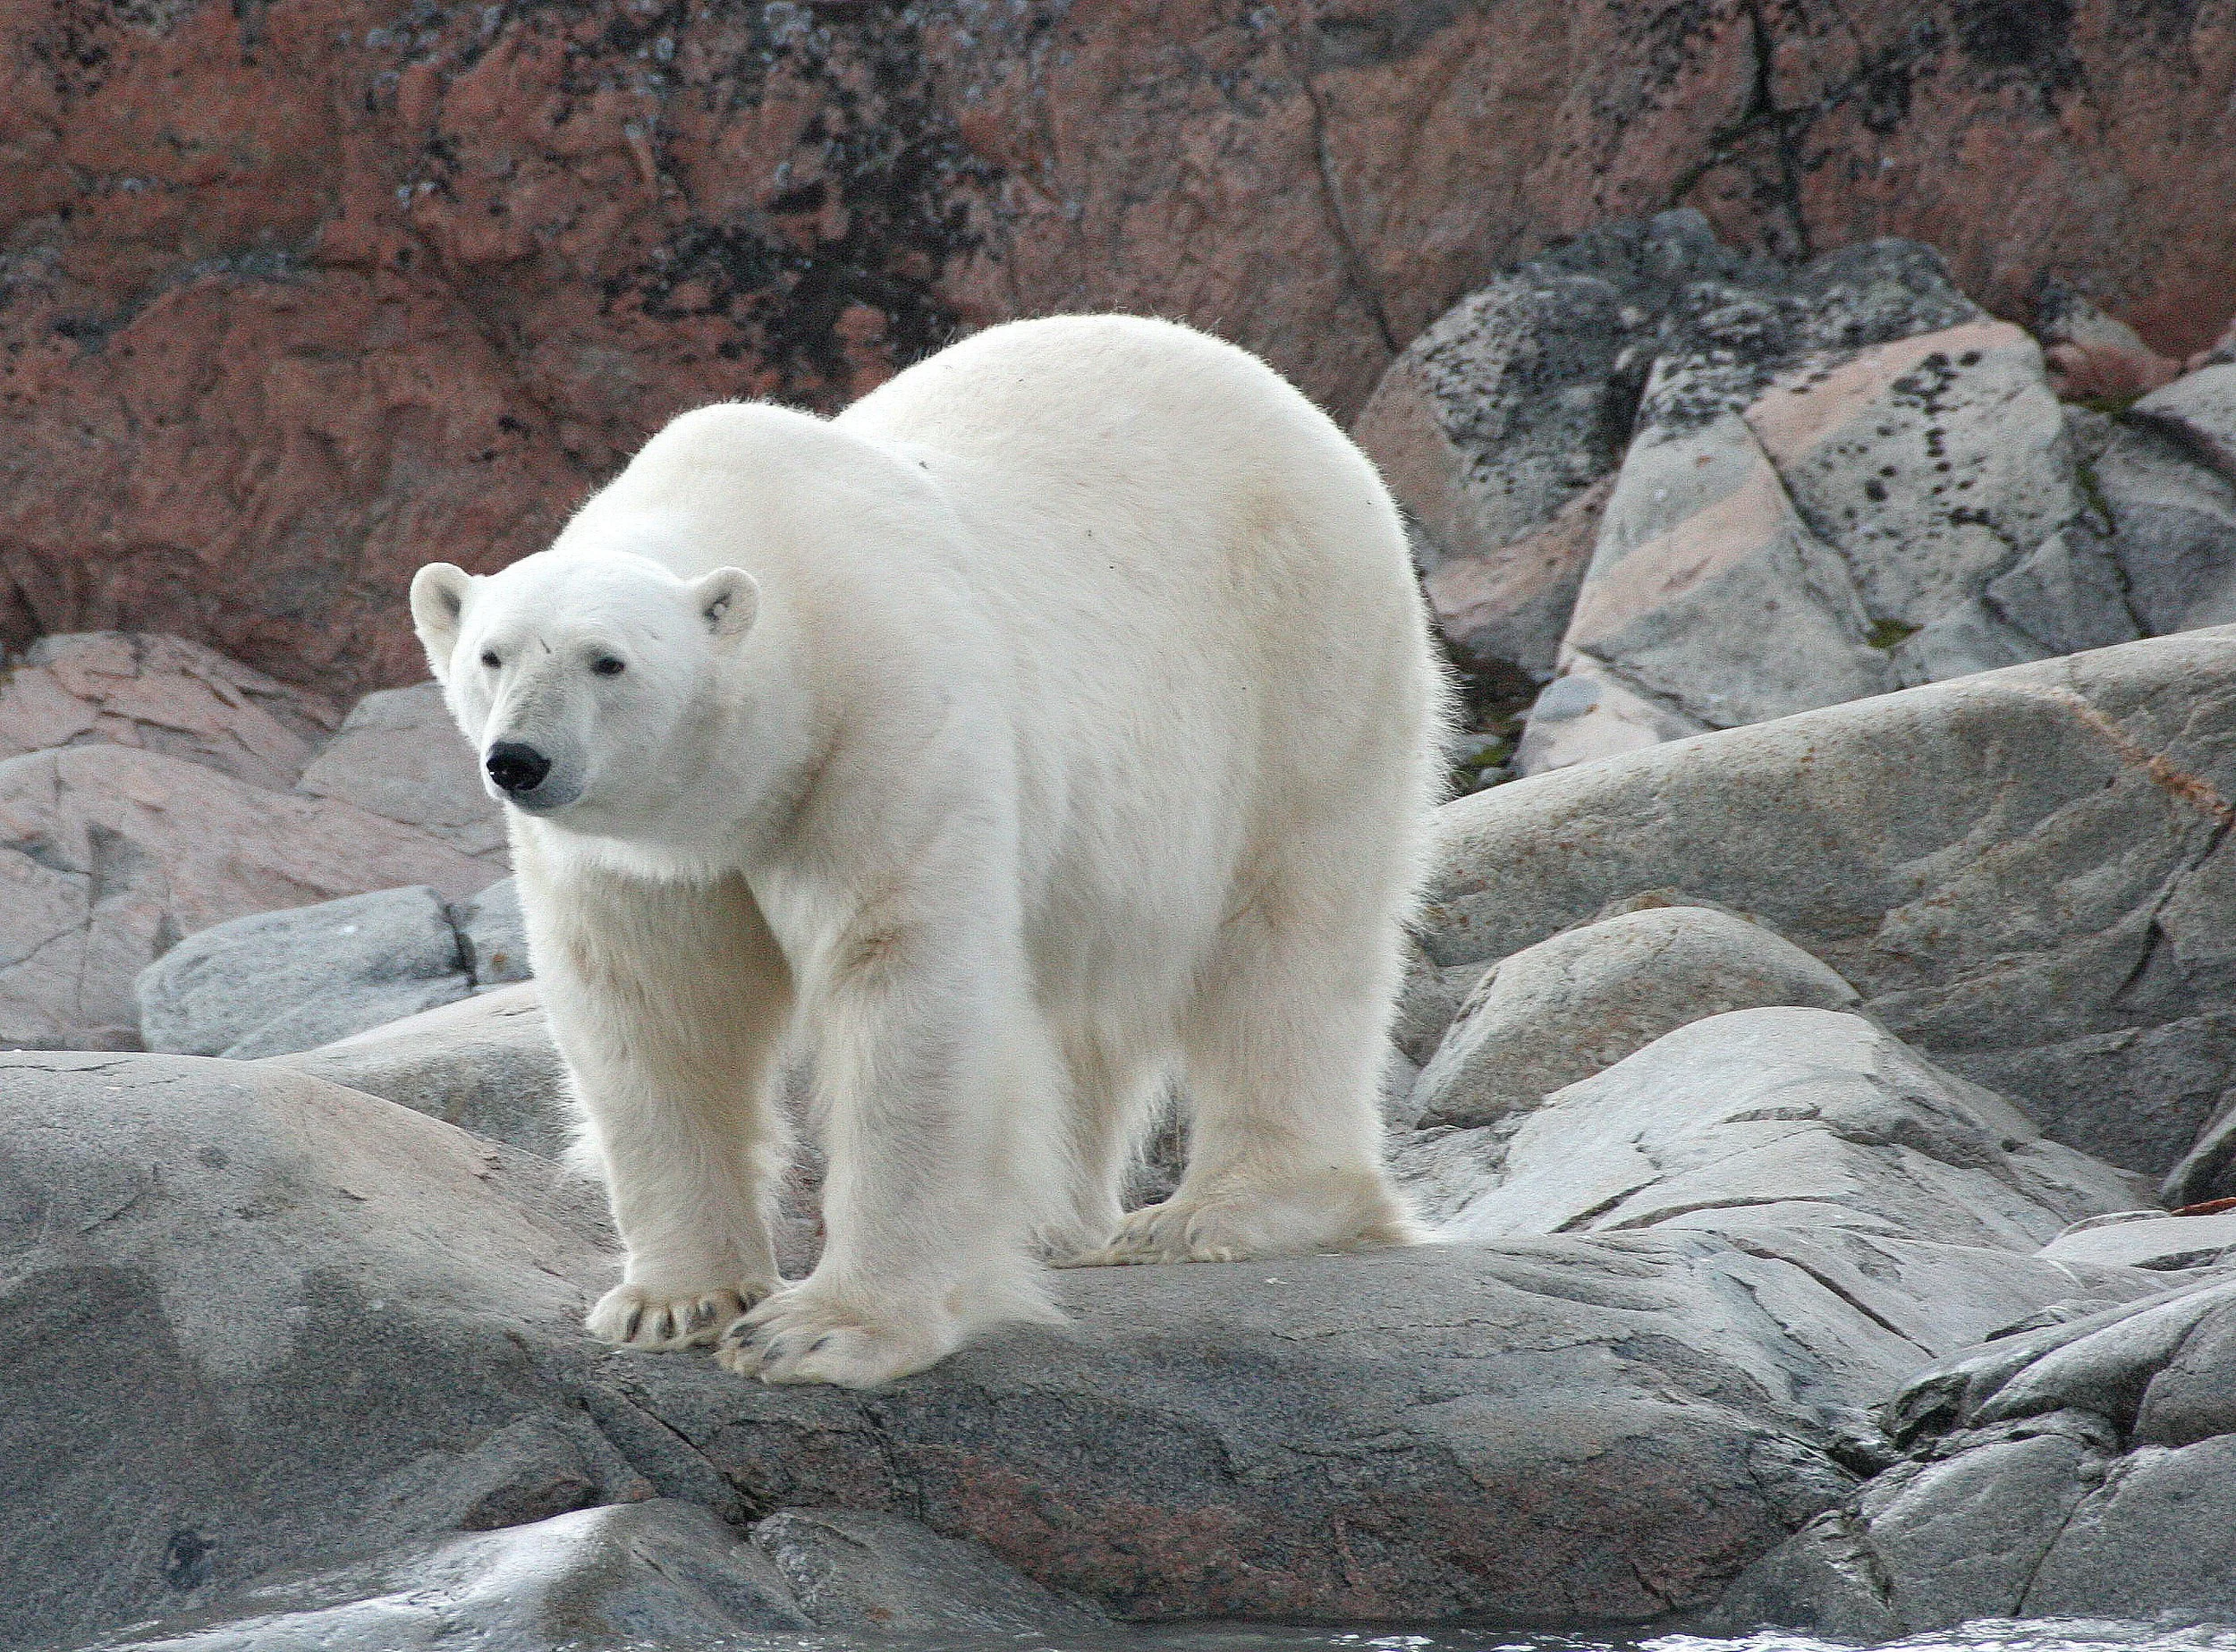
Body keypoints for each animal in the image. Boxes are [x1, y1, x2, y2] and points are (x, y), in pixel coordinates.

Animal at [410, 314, 1447, 1389]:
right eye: (491, 654)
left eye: (608, 660)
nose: (520, 760)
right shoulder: (633, 855)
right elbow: (650, 1009)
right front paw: (673, 1300)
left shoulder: (884, 717)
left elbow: (903, 981)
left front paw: (821, 1328)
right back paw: (1065, 1226)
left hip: (1302, 663)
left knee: (1291, 934)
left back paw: (1225, 1210)